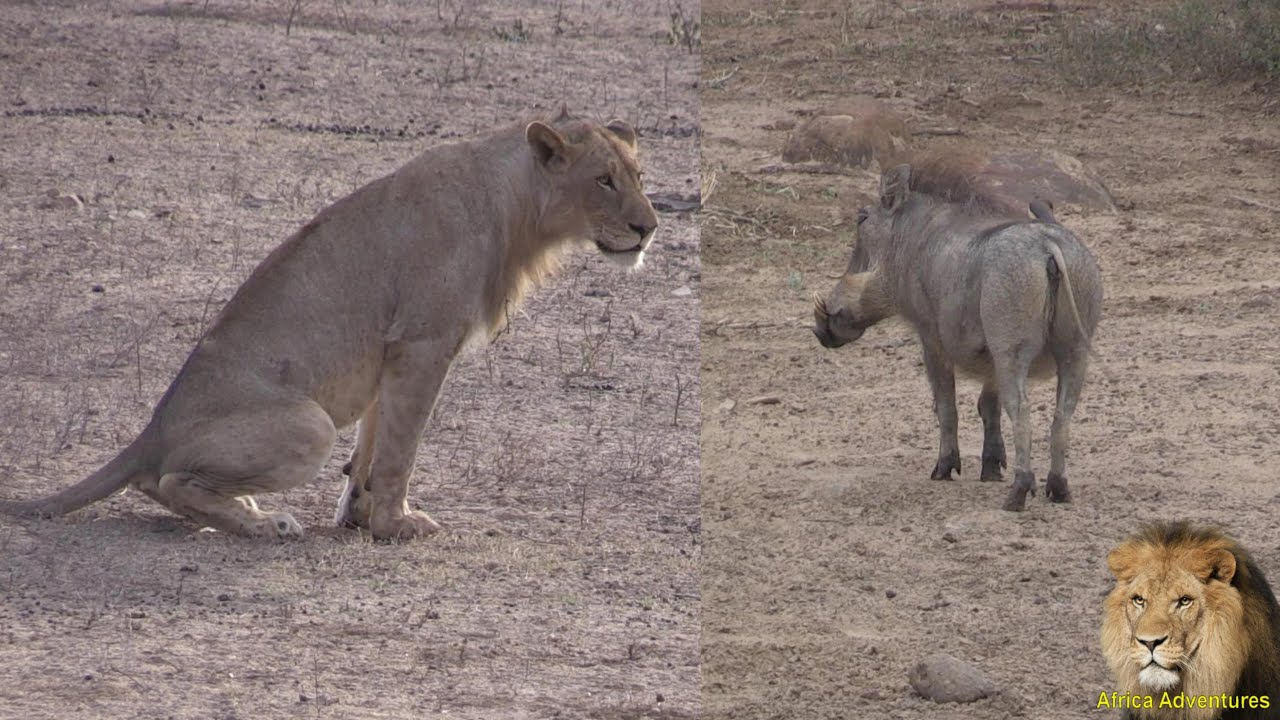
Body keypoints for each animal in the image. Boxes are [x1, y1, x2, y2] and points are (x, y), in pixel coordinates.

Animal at [1, 108, 658, 541]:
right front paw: (396, 524)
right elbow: (399, 448)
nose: (649, 228)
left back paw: (249, 508)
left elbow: (373, 441)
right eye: (602, 180)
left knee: (158, 482)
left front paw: (361, 516)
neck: (517, 211)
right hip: (310, 425)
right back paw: (269, 523)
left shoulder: (392, 353)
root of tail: (149, 432)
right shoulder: (423, 342)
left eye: (639, 177)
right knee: (167, 483)